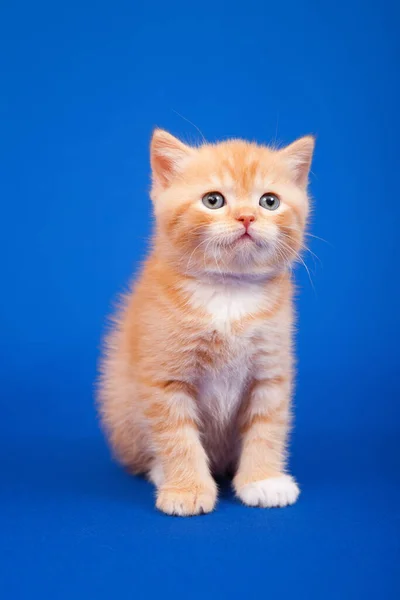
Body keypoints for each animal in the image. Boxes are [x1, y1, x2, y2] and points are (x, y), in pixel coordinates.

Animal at [97, 127, 316, 516]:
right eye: (213, 201)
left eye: (269, 202)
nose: (246, 218)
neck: (229, 292)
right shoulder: (165, 376)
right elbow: (176, 434)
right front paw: (187, 489)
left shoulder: (270, 370)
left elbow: (268, 425)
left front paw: (263, 480)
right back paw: (160, 472)